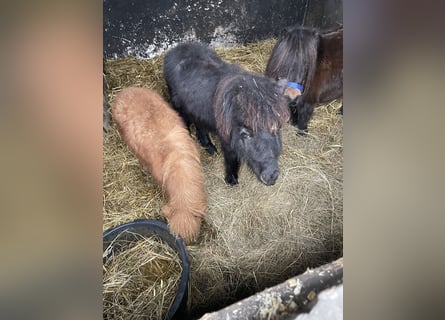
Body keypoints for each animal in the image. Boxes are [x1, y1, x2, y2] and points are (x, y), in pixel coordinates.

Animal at [162, 43, 288, 188]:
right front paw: (232, 181)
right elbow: (231, 158)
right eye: (246, 134)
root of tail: (176, 49)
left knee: (199, 125)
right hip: (178, 105)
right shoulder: (226, 140)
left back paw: (211, 149)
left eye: (276, 128)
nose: (271, 176)